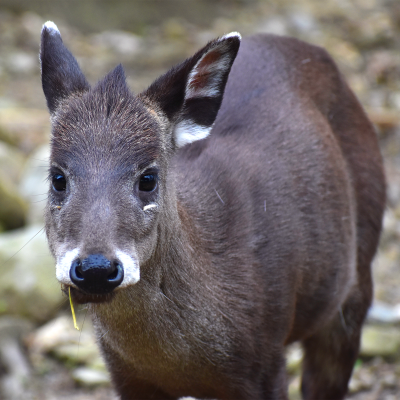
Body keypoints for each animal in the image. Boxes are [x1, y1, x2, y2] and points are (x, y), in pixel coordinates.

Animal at [39, 21, 384, 400]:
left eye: (148, 178)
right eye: (58, 177)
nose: (96, 269)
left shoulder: (265, 362)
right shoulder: (126, 375)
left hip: (356, 280)